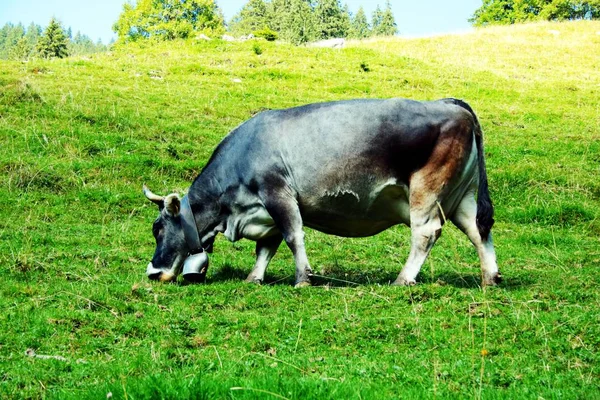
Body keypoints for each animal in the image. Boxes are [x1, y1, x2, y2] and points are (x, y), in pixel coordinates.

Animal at [143, 99, 500, 288]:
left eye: (158, 228)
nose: (152, 272)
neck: (232, 214)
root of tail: (447, 103)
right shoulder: (265, 211)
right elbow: (265, 247)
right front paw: (254, 278)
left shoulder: (278, 193)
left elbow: (293, 236)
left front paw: (303, 278)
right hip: (462, 197)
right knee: (479, 230)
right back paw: (490, 278)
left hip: (426, 191)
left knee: (425, 233)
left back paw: (403, 279)